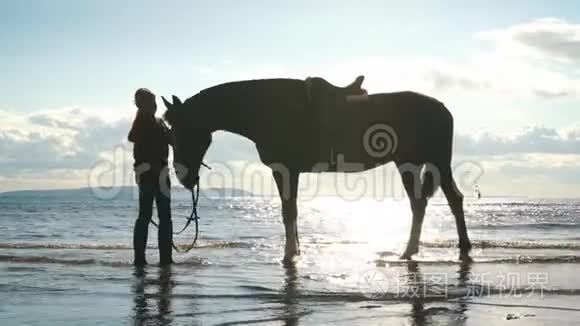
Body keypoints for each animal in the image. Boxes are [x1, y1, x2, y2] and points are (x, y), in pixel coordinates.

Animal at [162, 76, 472, 262]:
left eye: (182, 129)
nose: (182, 176)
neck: (269, 109)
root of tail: (442, 107)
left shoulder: (285, 170)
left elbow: (288, 211)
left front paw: (289, 255)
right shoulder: (289, 171)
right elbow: (291, 211)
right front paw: (295, 251)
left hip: (435, 162)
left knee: (451, 200)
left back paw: (454, 248)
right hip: (410, 163)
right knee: (421, 204)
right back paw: (413, 251)